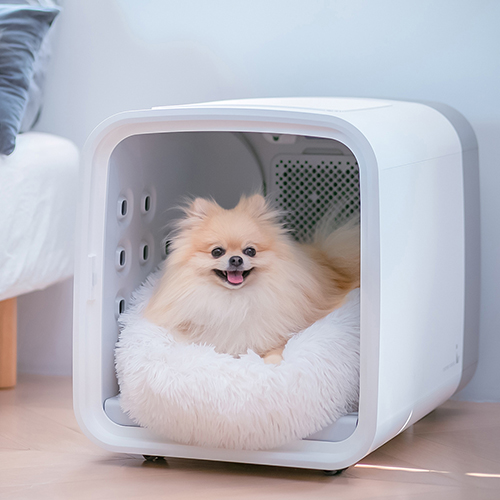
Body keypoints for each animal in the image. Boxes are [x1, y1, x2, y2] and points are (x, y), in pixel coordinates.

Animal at [144, 194, 360, 364]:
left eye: (250, 251)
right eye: (217, 251)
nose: (236, 259)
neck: (234, 300)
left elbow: (275, 349)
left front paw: (272, 363)